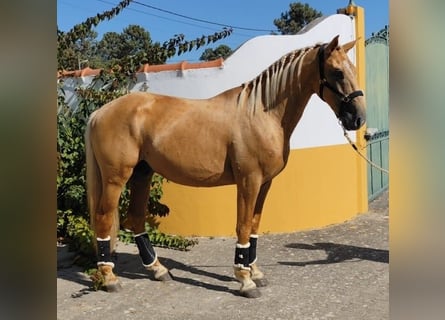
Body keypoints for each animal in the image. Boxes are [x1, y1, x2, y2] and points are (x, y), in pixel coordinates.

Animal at [84, 35, 364, 298]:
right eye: (337, 72)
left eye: (351, 68)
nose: (358, 118)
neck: (261, 114)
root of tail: (100, 112)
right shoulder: (248, 180)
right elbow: (243, 226)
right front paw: (245, 280)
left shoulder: (265, 183)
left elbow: (254, 225)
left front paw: (255, 271)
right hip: (116, 179)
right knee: (103, 218)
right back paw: (109, 277)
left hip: (142, 173)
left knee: (136, 219)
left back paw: (157, 269)